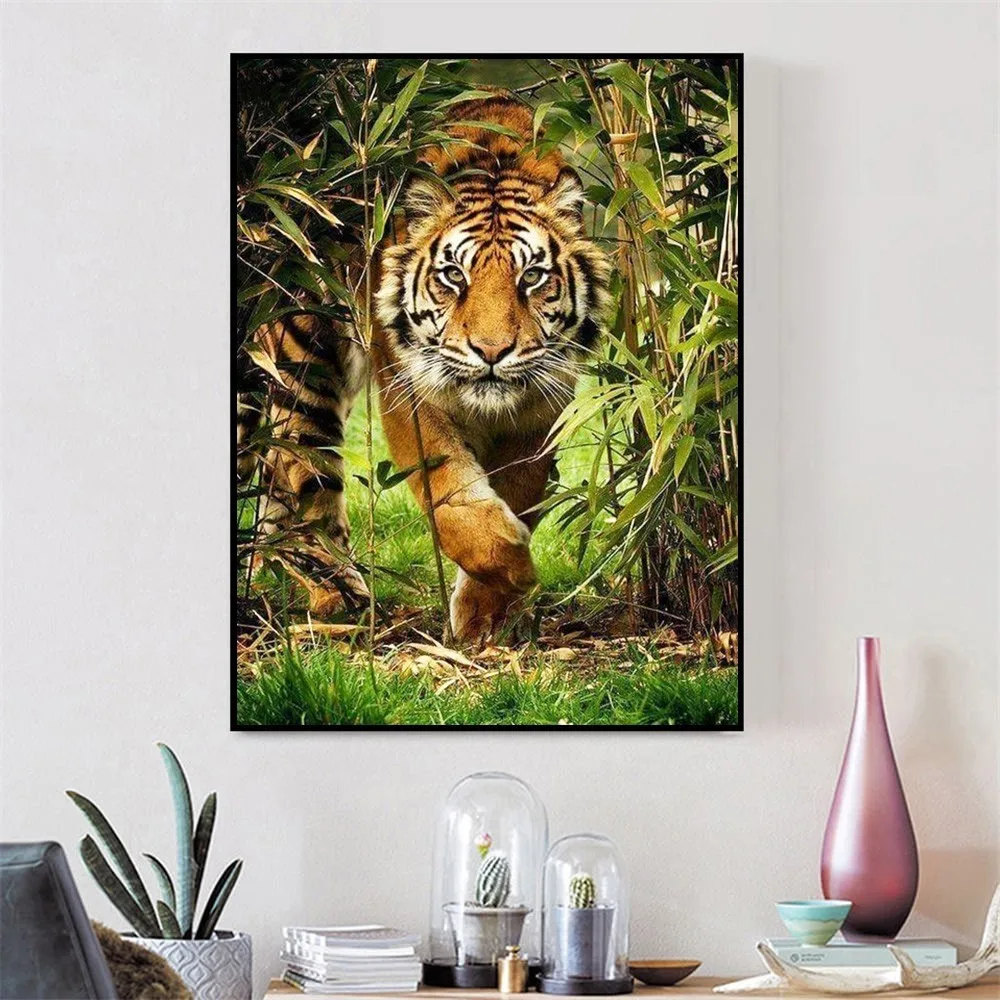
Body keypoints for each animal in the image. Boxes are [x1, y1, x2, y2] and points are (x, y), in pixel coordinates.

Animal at [240, 95, 610, 644]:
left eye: (532, 277)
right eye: (453, 275)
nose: (492, 351)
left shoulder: (542, 407)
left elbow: (519, 490)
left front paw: (487, 614)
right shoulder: (410, 392)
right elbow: (449, 493)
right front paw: (514, 568)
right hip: (304, 362)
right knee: (305, 479)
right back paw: (342, 599)